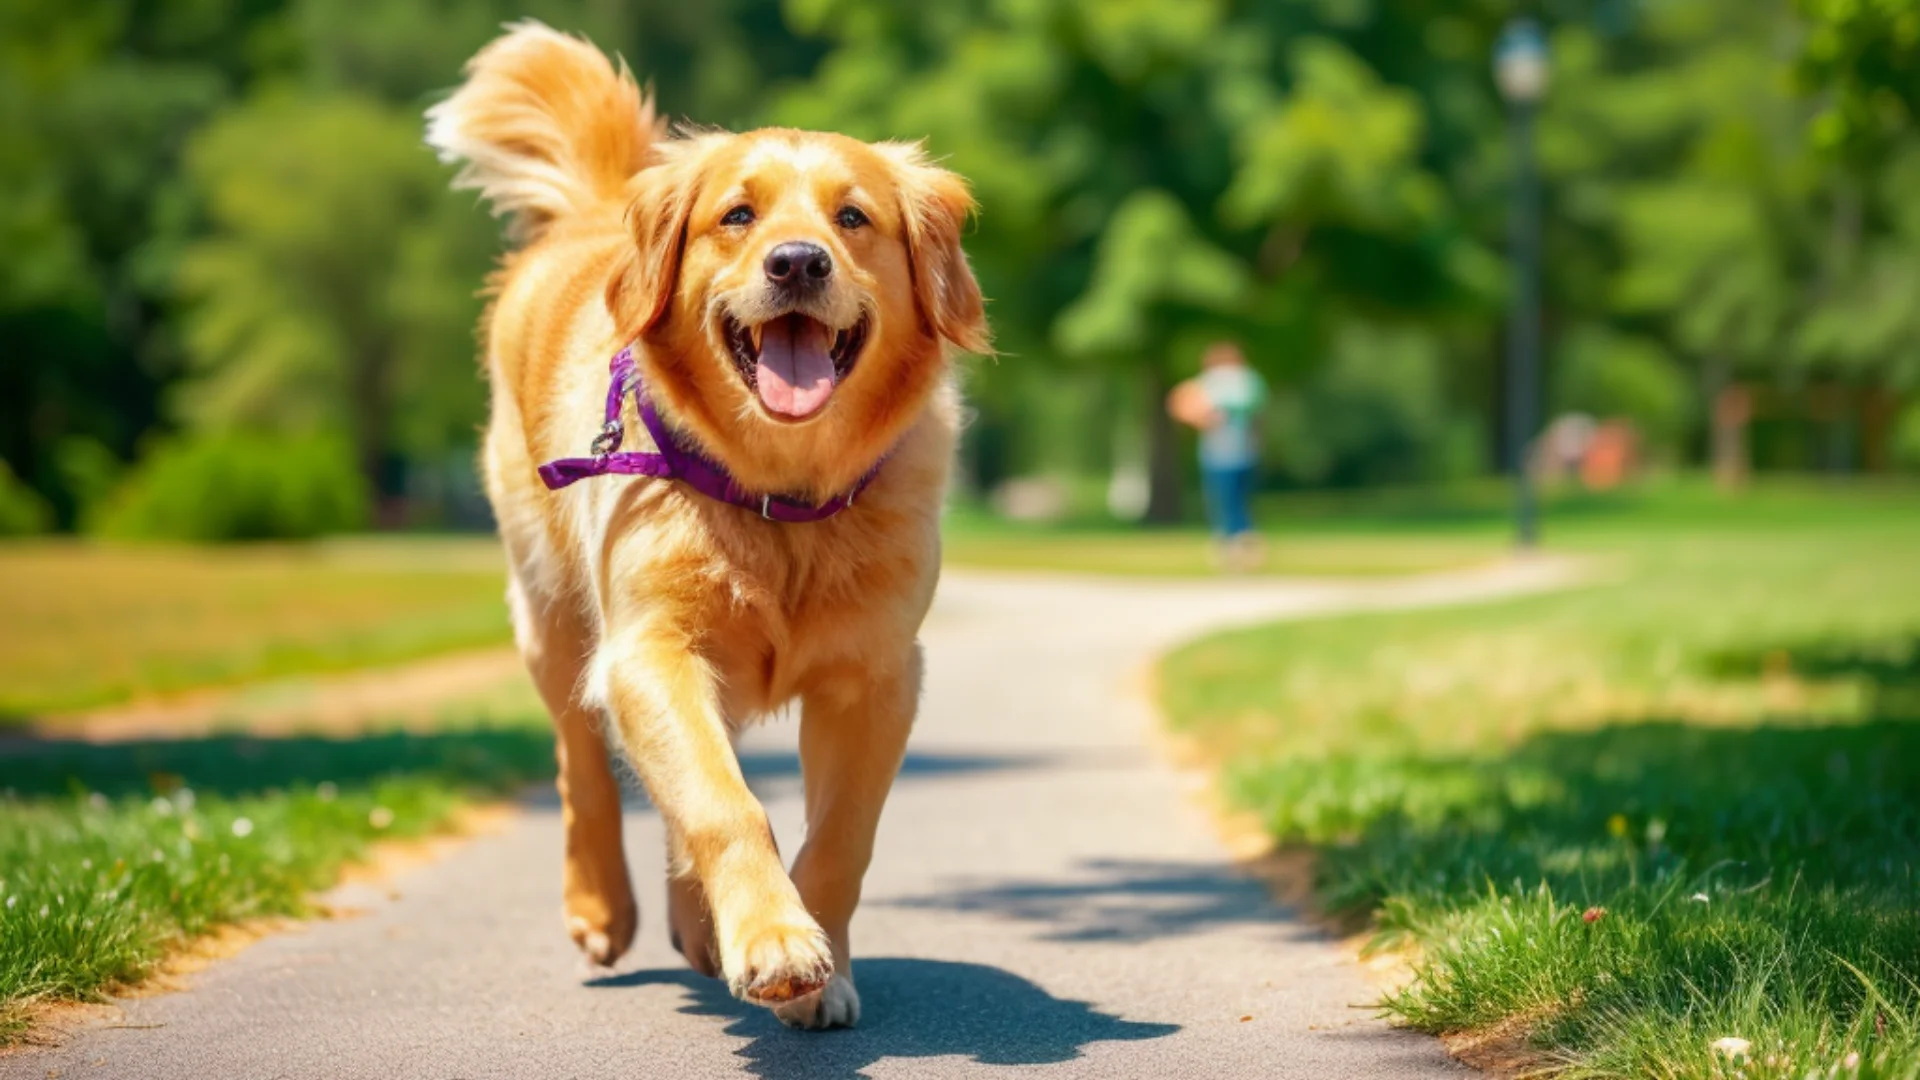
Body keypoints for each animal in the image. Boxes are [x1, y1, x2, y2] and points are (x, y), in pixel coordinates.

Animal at [426, 21, 983, 1022]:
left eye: (852, 219)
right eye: (737, 215)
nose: (796, 261)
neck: (779, 498)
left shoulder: (877, 677)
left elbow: (839, 838)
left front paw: (819, 968)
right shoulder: (652, 648)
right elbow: (723, 803)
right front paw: (775, 942)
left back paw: (697, 925)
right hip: (553, 616)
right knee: (584, 764)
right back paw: (603, 906)